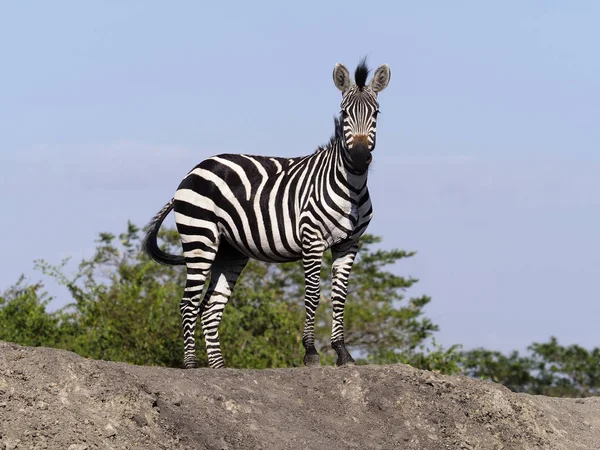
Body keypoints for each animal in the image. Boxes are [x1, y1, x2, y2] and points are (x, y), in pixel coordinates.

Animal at [143, 59, 392, 370]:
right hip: (200, 237)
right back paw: (191, 365)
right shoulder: (312, 239)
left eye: (376, 113)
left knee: (211, 307)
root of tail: (194, 170)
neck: (352, 188)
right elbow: (313, 295)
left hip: (230, 250)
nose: (359, 158)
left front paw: (343, 352)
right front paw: (311, 352)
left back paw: (220, 369)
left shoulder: (349, 244)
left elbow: (339, 297)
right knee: (188, 303)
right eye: (345, 113)